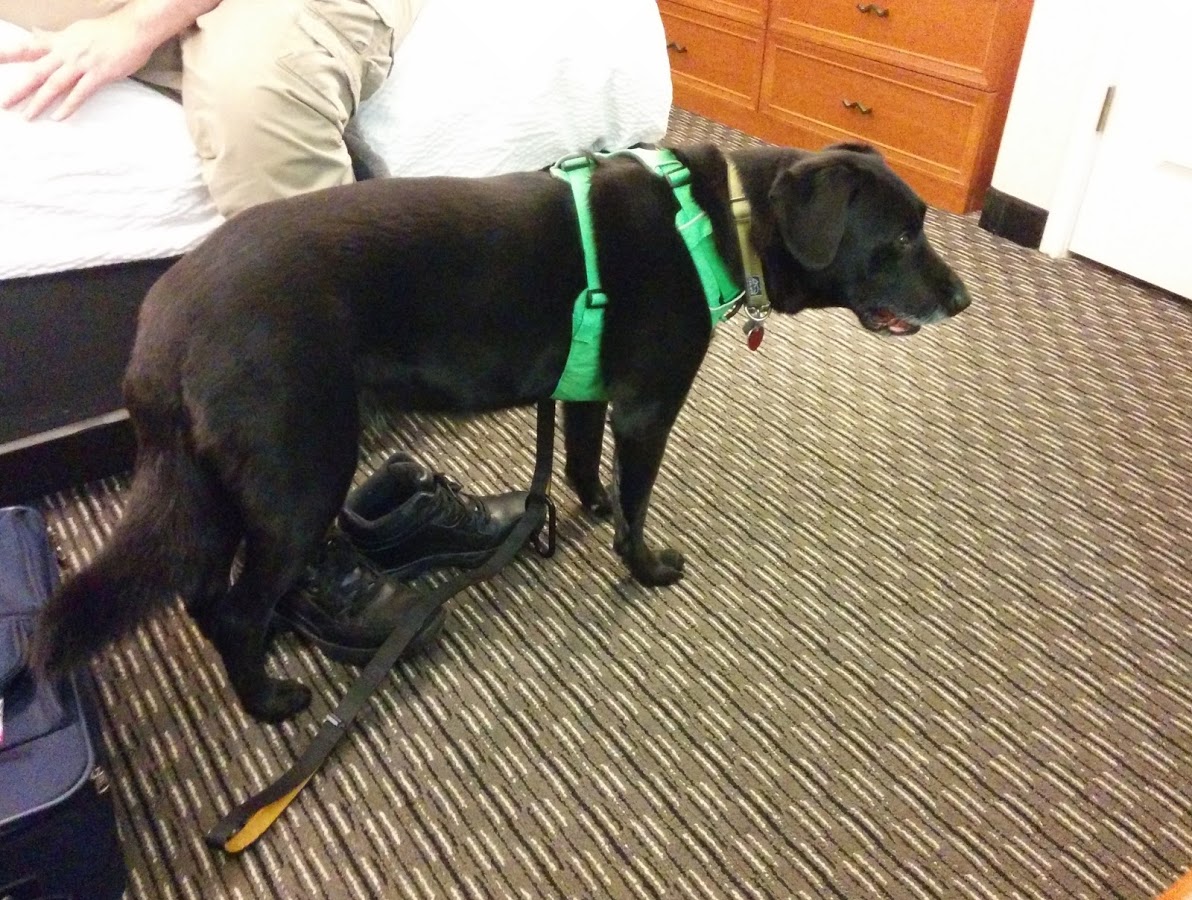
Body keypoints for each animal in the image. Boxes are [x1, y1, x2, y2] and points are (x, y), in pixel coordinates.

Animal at [31, 142, 970, 722]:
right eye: (900, 238)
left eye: (923, 224)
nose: (964, 300)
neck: (716, 217)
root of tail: (161, 327)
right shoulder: (647, 409)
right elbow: (638, 502)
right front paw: (645, 564)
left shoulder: (589, 394)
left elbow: (584, 465)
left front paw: (588, 507)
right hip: (302, 472)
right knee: (235, 607)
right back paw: (270, 704)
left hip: (219, 484)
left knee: (199, 590)